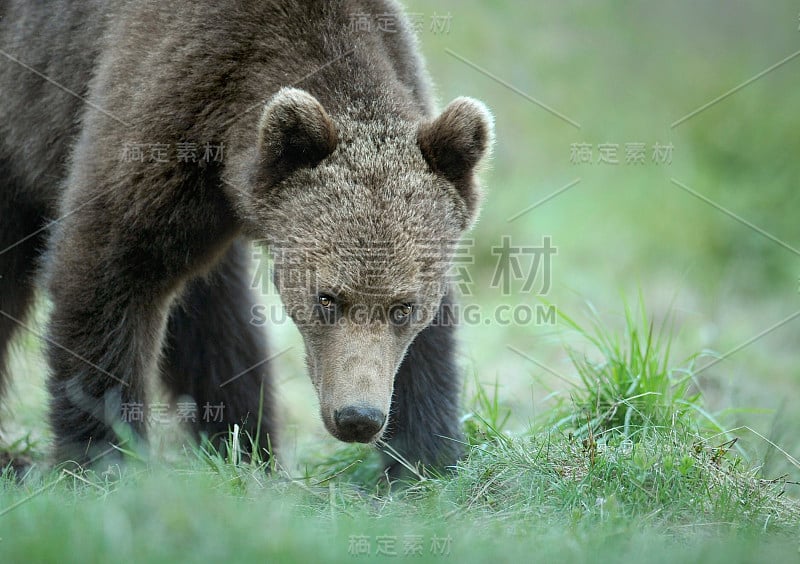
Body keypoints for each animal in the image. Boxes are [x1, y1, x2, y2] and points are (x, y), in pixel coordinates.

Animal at [0, 1, 490, 476]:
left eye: (404, 307)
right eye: (326, 298)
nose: (358, 417)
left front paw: (425, 457)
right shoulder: (162, 104)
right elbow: (110, 267)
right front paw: (103, 458)